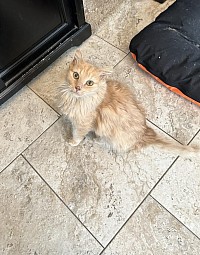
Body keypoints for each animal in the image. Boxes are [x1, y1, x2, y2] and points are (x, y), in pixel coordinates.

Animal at [58, 49, 198, 153]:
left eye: (89, 83)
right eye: (76, 75)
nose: (77, 88)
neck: (74, 99)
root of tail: (144, 133)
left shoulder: (83, 124)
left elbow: (77, 135)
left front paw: (72, 142)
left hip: (113, 138)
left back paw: (97, 139)